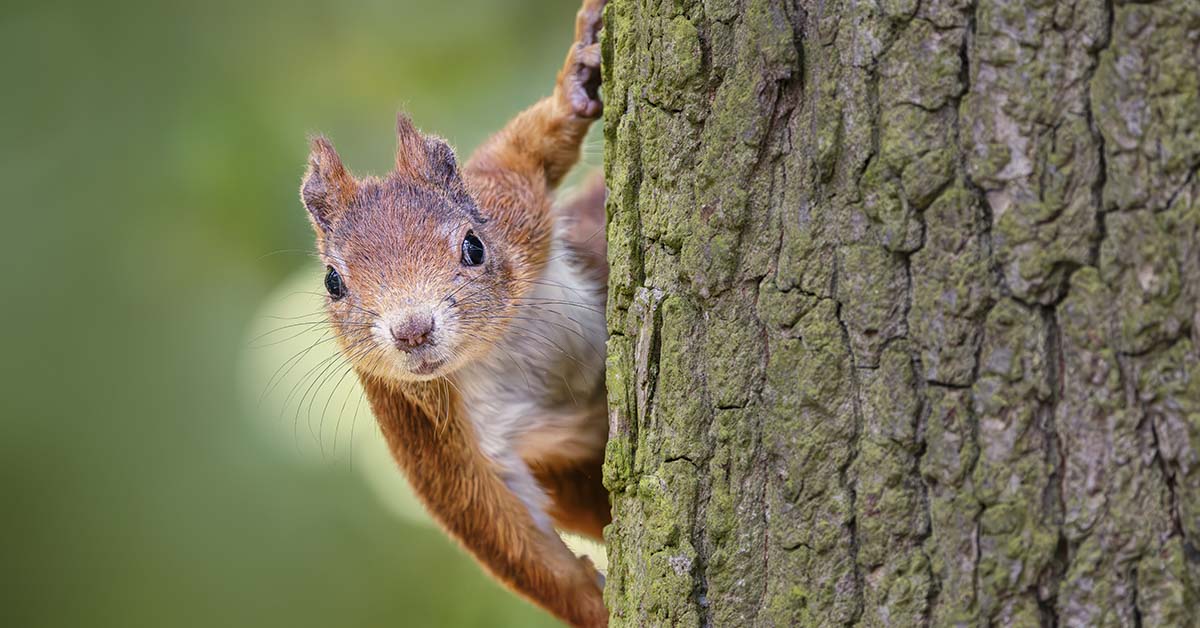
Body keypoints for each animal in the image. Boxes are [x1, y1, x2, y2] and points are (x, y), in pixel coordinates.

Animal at [298, 1, 610, 626]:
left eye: (473, 246)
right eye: (332, 282)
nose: (411, 330)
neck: (495, 347)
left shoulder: (513, 210)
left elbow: (525, 148)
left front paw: (576, 78)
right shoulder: (424, 426)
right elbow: (500, 528)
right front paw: (602, 605)